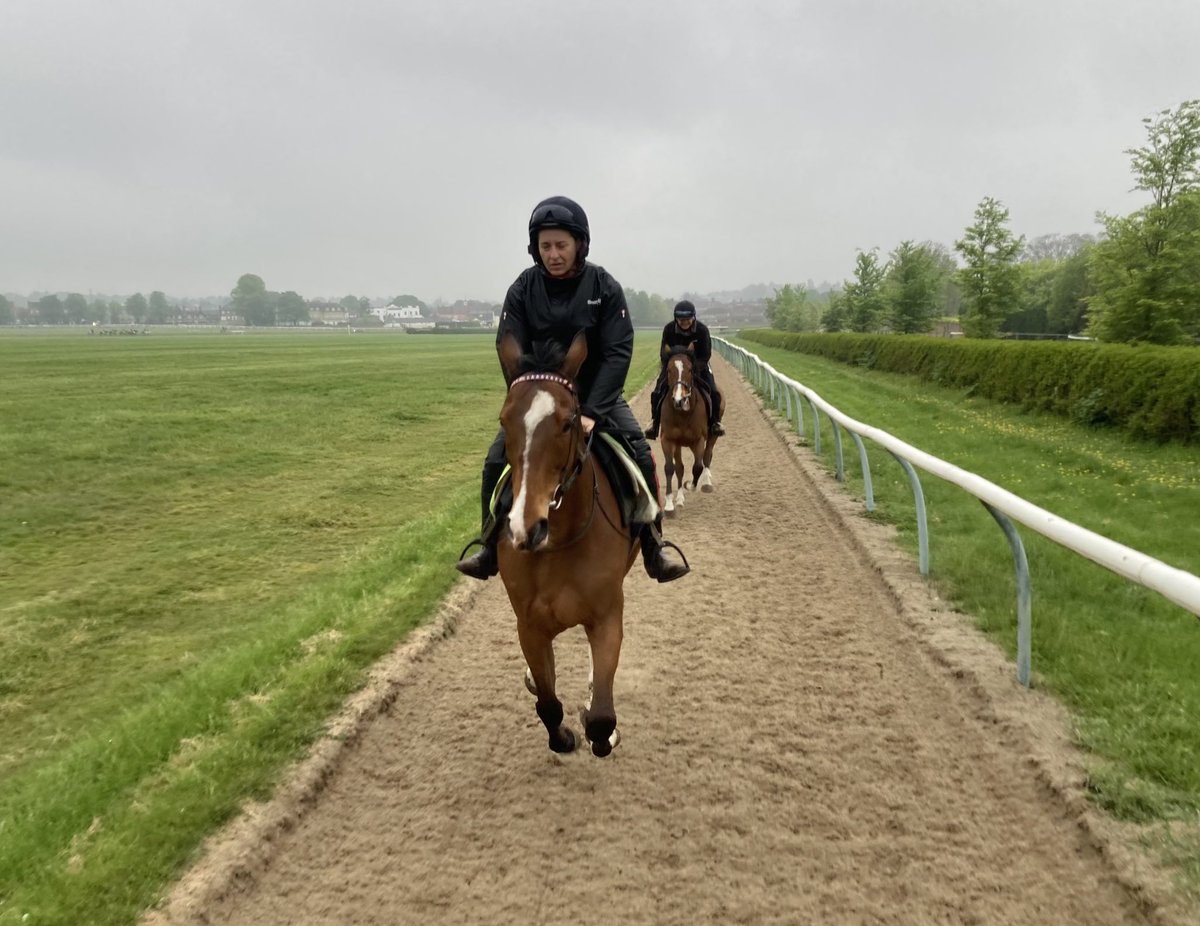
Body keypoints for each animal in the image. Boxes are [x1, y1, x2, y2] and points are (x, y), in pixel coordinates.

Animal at [492, 328, 638, 758]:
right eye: (504, 420)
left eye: (568, 422)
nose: (525, 527)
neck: (557, 544)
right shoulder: (529, 625)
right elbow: (547, 702)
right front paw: (562, 736)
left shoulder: (606, 615)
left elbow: (603, 716)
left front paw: (598, 728)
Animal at [657, 343, 720, 513]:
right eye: (668, 370)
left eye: (690, 369)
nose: (679, 400)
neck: (682, 414)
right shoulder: (668, 440)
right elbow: (670, 468)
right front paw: (670, 506)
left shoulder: (698, 440)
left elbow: (697, 466)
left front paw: (690, 485)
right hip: (679, 444)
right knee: (680, 468)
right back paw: (679, 499)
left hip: (711, 436)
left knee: (707, 455)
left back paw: (706, 483)